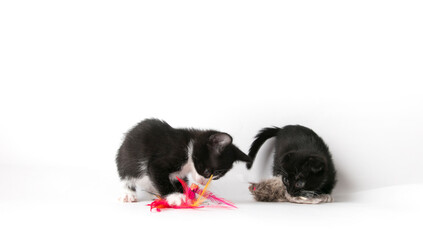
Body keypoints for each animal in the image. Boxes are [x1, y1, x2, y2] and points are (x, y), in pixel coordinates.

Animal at [115, 118, 252, 204]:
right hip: (126, 158)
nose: (203, 182)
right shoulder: (162, 160)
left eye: (216, 177)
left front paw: (187, 196)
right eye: (207, 172)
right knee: (126, 175)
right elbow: (159, 175)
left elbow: (179, 182)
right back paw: (127, 193)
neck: (189, 148)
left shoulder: (179, 174)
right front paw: (175, 197)